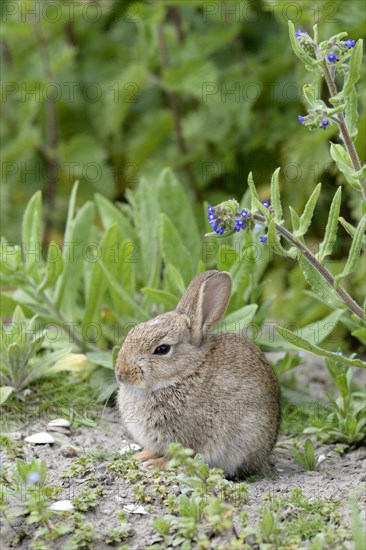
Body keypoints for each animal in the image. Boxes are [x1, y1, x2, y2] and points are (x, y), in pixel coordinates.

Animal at [116, 272, 278, 478]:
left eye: (162, 349)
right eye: (133, 330)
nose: (121, 373)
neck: (185, 373)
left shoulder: (184, 437)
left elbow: (175, 456)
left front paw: (153, 464)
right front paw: (141, 456)